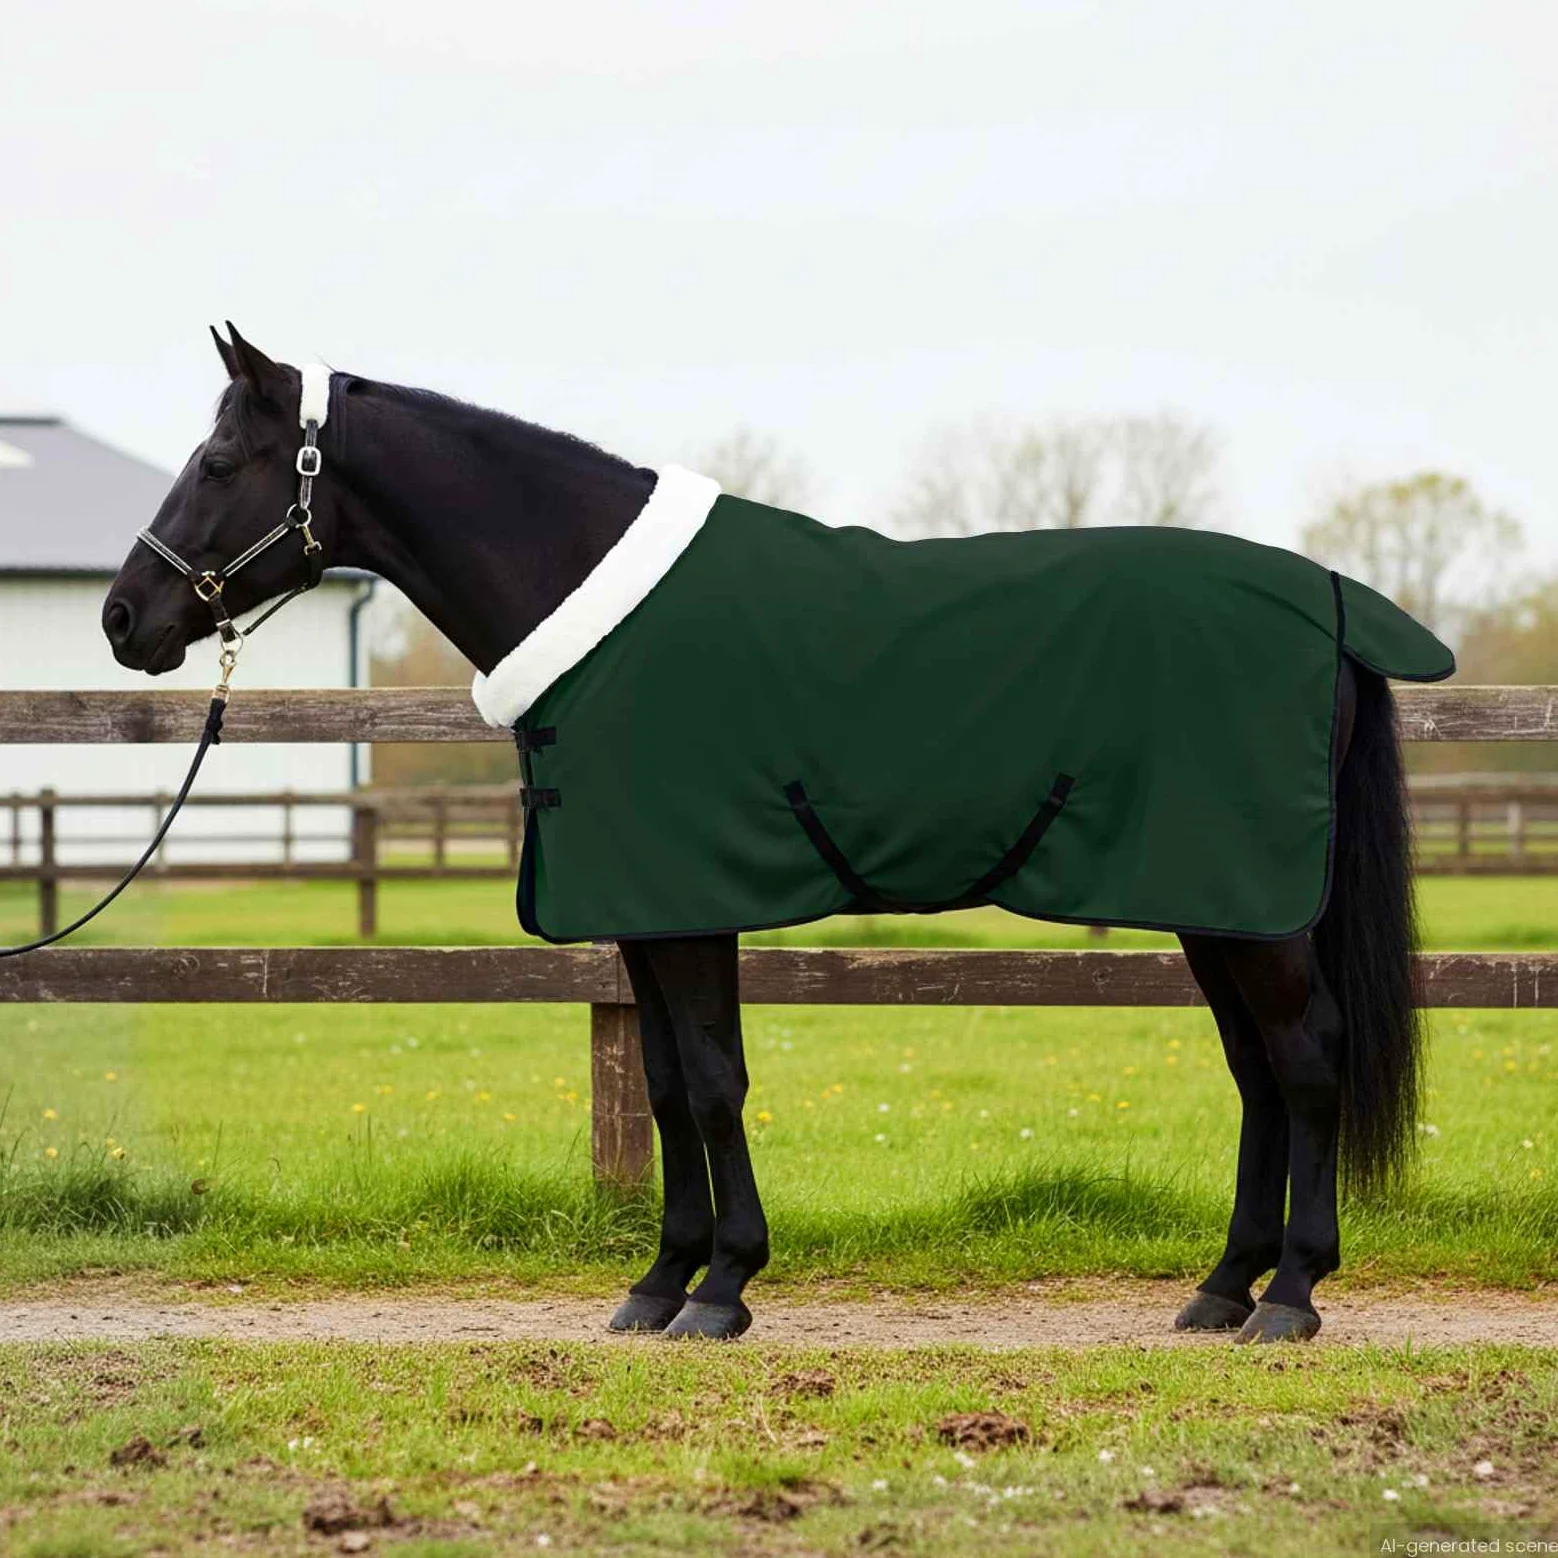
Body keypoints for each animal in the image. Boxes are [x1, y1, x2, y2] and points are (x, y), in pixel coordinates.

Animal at [102, 326, 1433, 1344]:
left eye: (219, 459)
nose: (124, 616)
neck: (593, 606)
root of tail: (1329, 601)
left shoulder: (689, 905)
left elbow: (711, 1082)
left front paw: (724, 1286)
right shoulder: (642, 911)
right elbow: (663, 1087)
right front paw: (660, 1282)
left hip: (1254, 909)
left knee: (1306, 1057)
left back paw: (1291, 1295)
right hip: (1218, 901)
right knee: (1258, 1073)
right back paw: (1220, 1289)